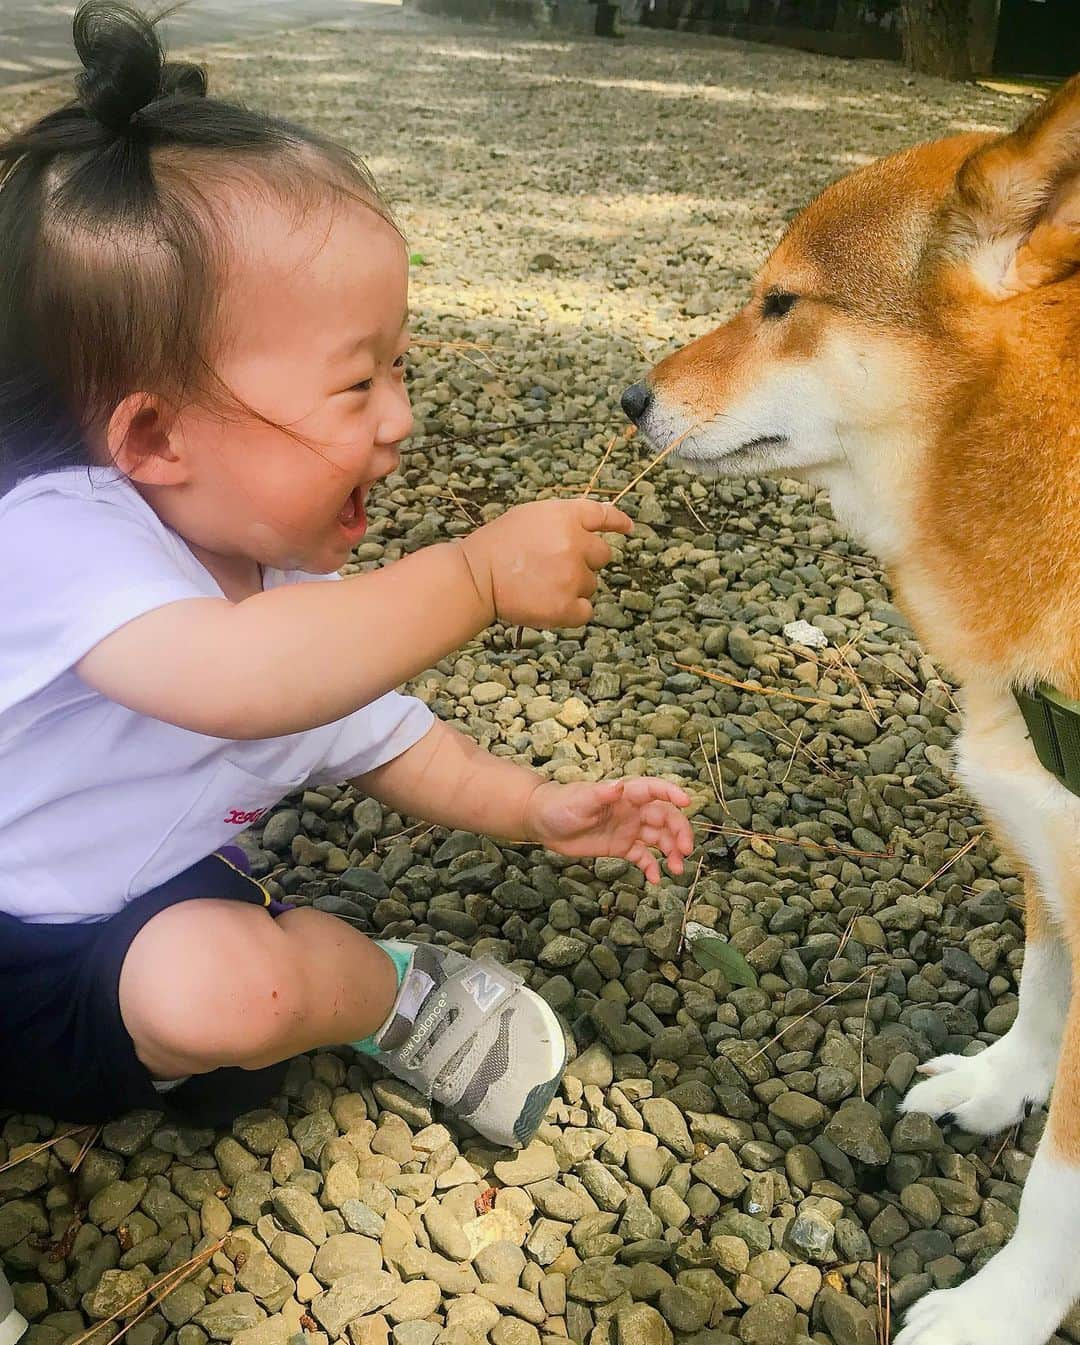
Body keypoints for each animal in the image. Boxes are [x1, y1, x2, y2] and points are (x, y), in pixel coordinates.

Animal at [621, 73, 1080, 1345]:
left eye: (783, 302)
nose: (629, 397)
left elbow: (1061, 1186)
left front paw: (997, 1311)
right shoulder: (1046, 843)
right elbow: (1043, 988)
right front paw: (999, 1085)